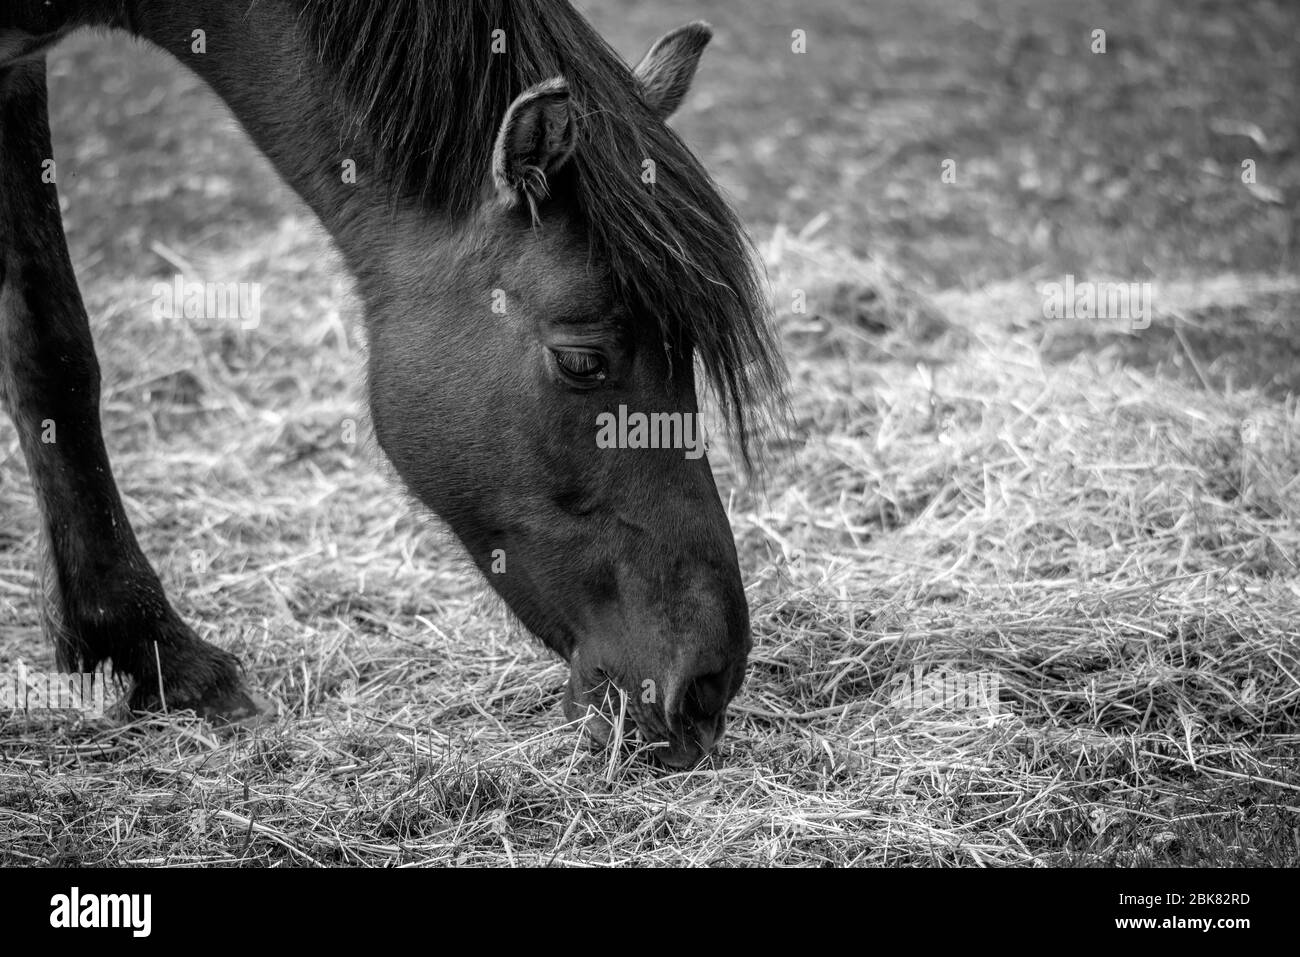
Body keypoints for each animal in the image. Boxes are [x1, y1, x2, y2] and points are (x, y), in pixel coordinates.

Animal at [0, 0, 780, 764]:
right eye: (583, 361)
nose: (709, 682)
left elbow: (48, 343)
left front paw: (149, 652)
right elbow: (55, 348)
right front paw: (159, 649)